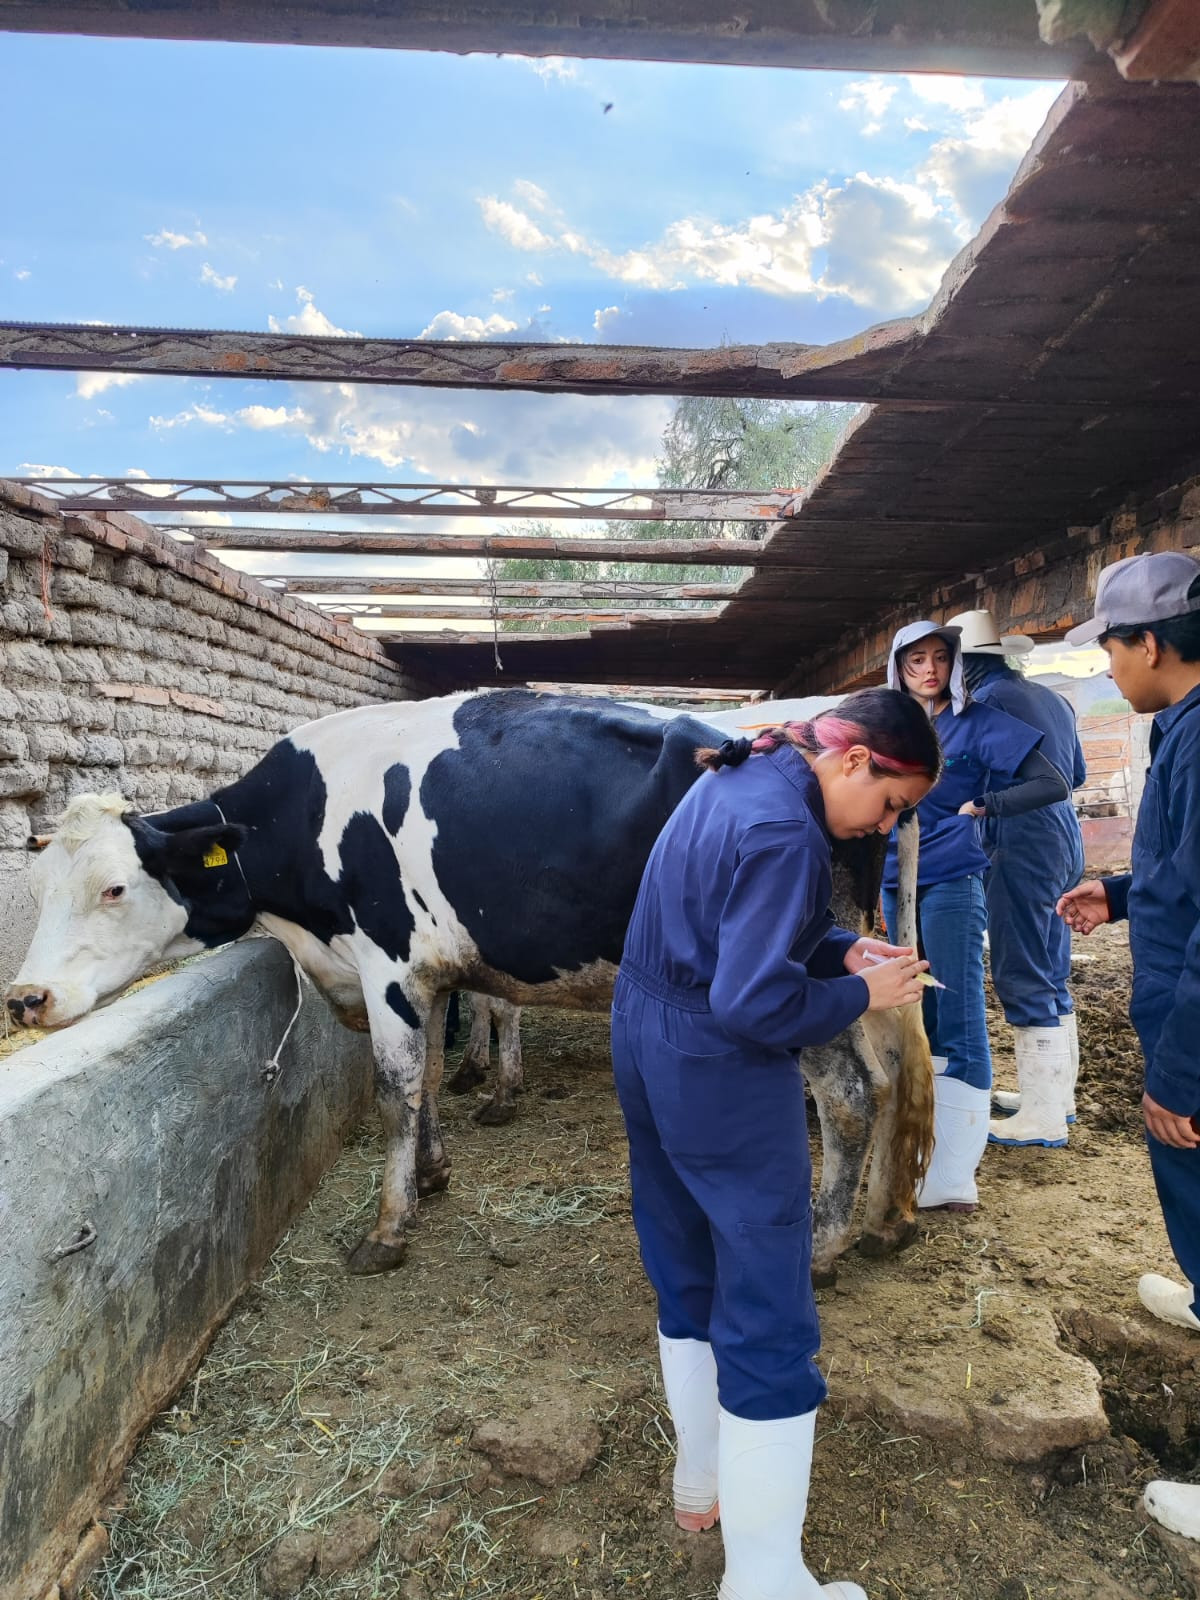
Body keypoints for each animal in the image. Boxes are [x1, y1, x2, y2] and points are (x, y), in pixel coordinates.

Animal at [4, 694, 934, 1280]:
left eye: (114, 888)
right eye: (39, 889)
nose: (26, 998)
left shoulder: (385, 964)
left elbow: (395, 1087)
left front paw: (388, 1228)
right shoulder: (426, 970)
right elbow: (428, 1079)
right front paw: (435, 1171)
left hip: (787, 974)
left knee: (850, 1098)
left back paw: (821, 1250)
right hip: (864, 961)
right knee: (894, 1076)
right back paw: (883, 1224)